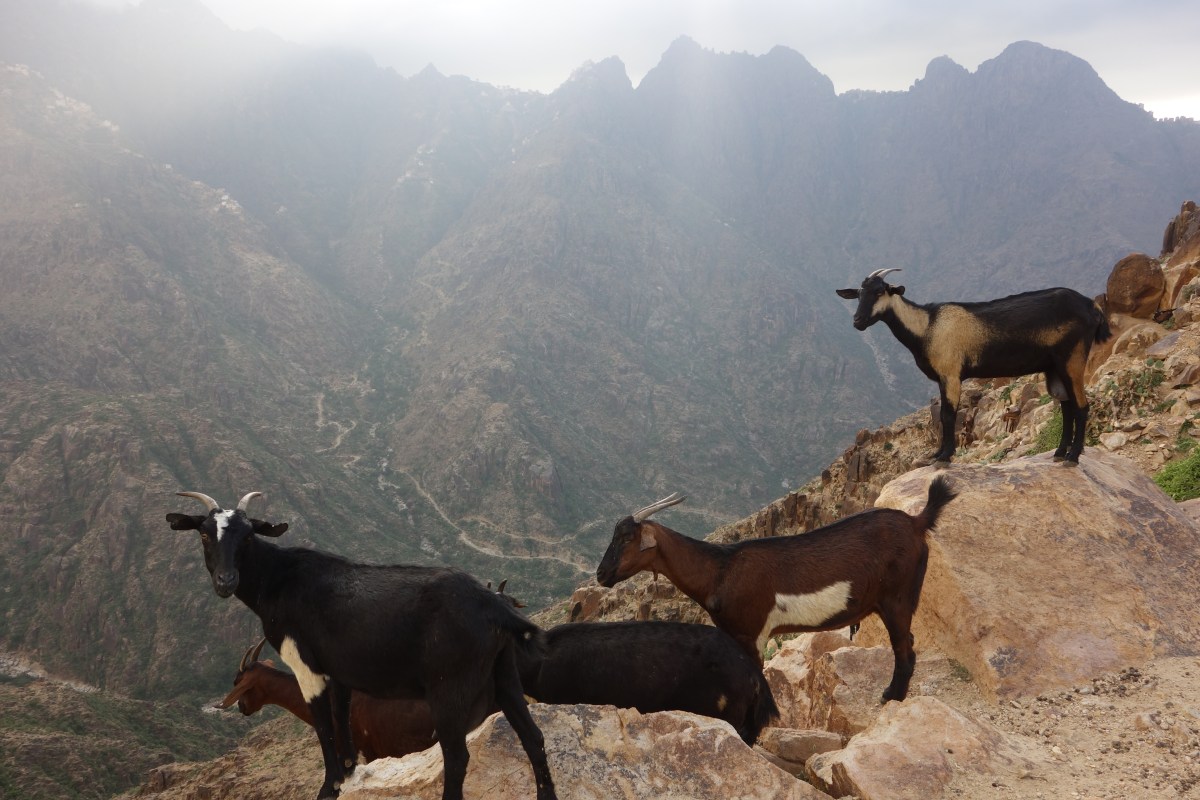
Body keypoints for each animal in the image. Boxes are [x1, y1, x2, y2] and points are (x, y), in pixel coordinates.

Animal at [595, 477, 956, 703]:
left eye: (626, 538)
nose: (601, 575)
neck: (719, 570)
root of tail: (916, 522)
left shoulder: (753, 633)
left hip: (897, 599)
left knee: (905, 649)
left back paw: (891, 696)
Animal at [837, 268, 1112, 464]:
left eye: (880, 292)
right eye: (859, 294)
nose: (857, 321)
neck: (927, 326)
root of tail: (1092, 307)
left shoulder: (951, 374)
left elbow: (948, 415)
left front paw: (944, 457)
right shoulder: (943, 378)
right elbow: (944, 416)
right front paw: (937, 455)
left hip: (1072, 359)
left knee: (1081, 406)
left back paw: (1073, 457)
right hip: (1054, 367)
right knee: (1066, 405)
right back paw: (1059, 453)